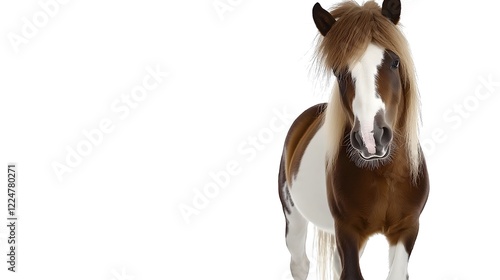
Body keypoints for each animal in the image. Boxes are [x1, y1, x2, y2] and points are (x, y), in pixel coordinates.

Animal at [278, 1, 430, 278]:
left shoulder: (407, 228)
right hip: (293, 218)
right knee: (299, 263)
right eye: (338, 72)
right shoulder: (346, 231)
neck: (383, 174)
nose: (372, 138)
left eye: (394, 62)